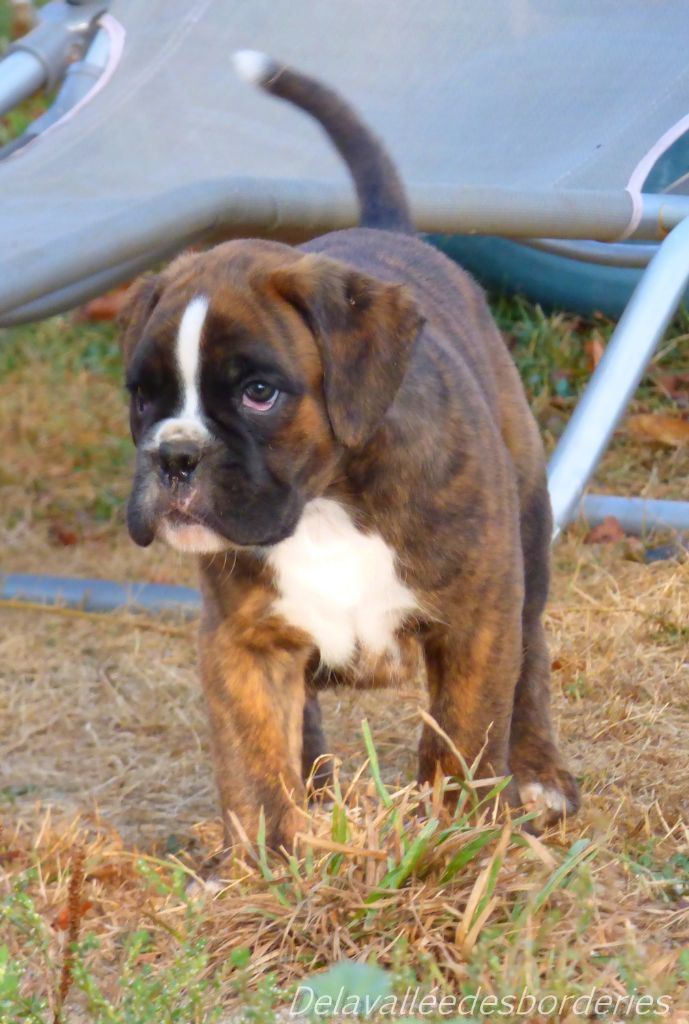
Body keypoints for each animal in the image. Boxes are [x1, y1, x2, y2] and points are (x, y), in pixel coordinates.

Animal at [120, 51, 577, 847]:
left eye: (259, 392)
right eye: (143, 397)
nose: (173, 456)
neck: (328, 502)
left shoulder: (476, 622)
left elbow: (462, 738)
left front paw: (452, 842)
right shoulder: (243, 647)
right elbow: (255, 769)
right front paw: (267, 865)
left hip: (527, 544)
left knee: (531, 661)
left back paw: (538, 773)